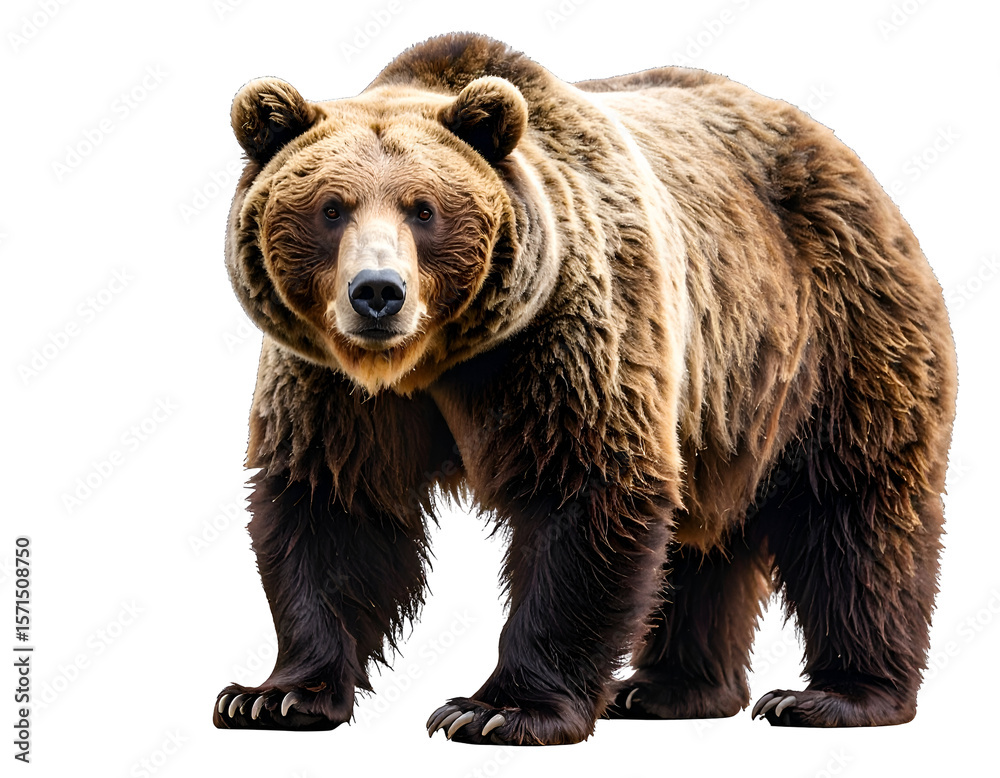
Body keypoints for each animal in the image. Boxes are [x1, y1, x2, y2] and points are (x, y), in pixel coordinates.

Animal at [212, 33, 957, 745]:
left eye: (423, 209)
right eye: (331, 208)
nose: (377, 292)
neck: (431, 361)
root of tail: (845, 157)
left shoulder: (564, 335)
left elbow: (587, 489)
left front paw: (498, 711)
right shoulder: (331, 385)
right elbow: (333, 507)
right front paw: (272, 695)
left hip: (837, 335)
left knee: (854, 512)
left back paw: (834, 695)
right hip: (722, 402)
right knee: (701, 537)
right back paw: (668, 689)